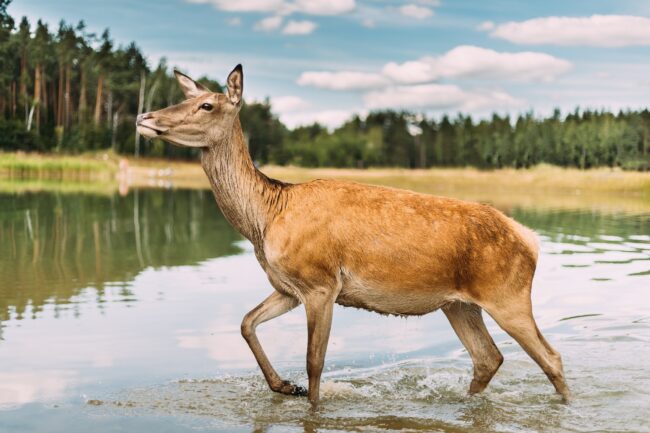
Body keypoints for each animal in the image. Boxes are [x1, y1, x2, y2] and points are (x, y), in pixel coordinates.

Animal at [136, 64, 570, 406]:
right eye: (188, 98)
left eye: (207, 105)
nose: (144, 117)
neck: (267, 214)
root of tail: (530, 239)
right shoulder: (288, 286)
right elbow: (246, 322)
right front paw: (283, 386)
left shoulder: (321, 283)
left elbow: (314, 363)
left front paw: (308, 399)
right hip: (459, 304)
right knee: (488, 358)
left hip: (508, 294)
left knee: (550, 357)